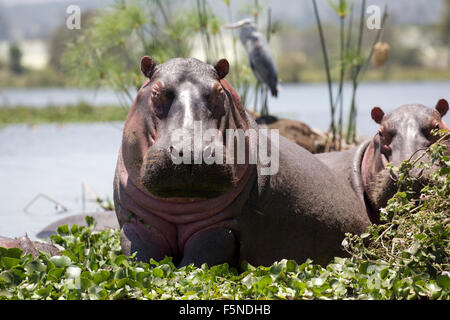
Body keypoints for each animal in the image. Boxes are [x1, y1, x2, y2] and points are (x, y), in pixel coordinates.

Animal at [112, 55, 370, 268]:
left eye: (219, 92)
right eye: (156, 92)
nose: (192, 152)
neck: (180, 205)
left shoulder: (222, 228)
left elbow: (196, 261)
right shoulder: (137, 223)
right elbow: (142, 257)